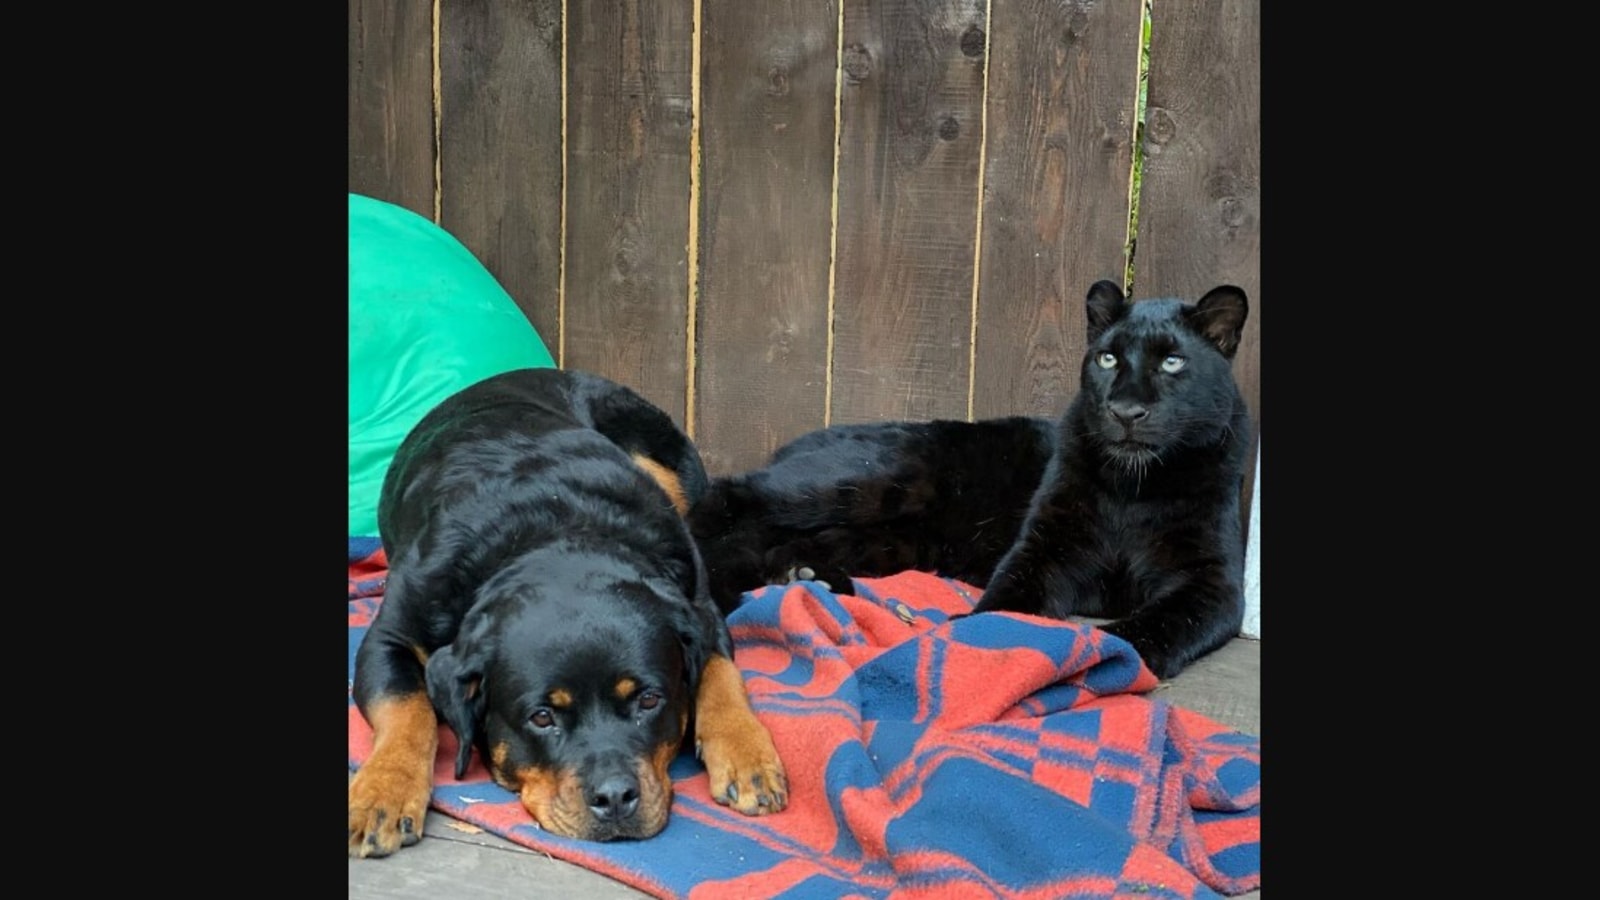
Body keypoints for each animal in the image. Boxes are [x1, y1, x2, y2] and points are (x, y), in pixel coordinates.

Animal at [350, 366, 787, 851]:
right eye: (542, 717)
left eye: (649, 700)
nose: (614, 797)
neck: (555, 529)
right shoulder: (389, 634)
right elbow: (404, 707)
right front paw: (383, 791)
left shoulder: (698, 607)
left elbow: (721, 675)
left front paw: (747, 752)